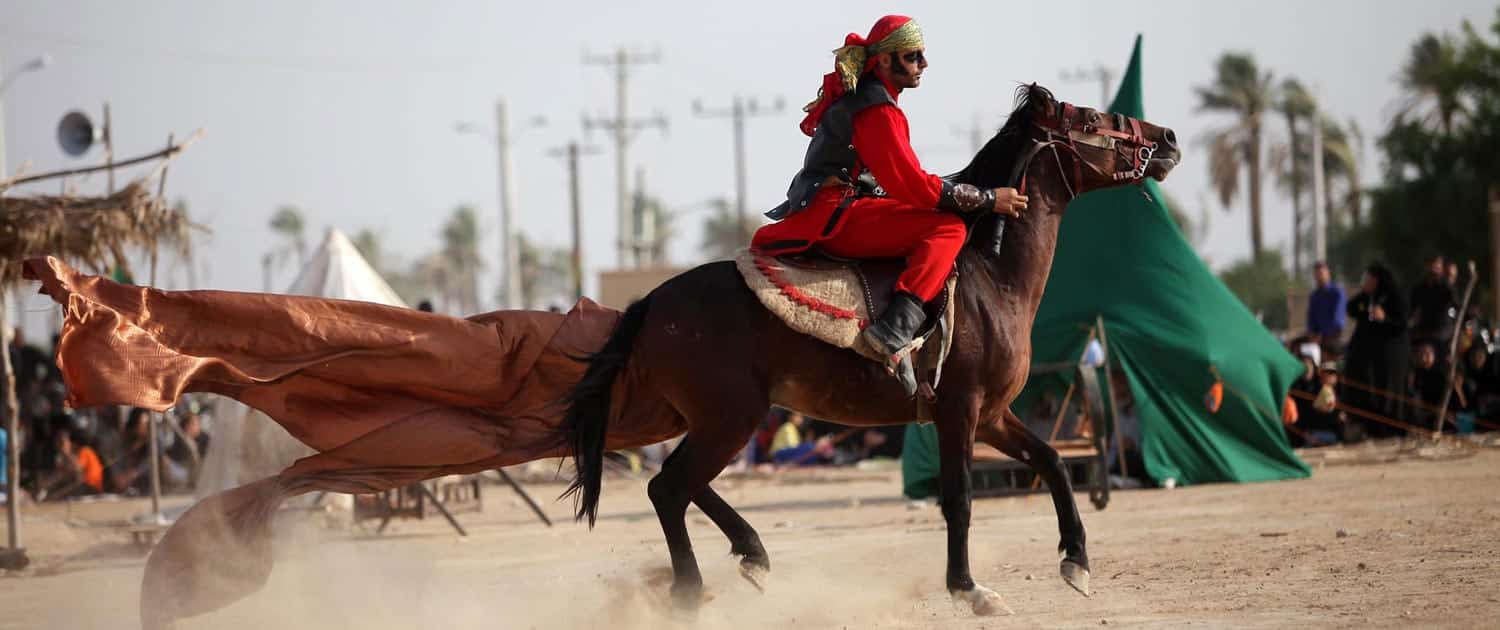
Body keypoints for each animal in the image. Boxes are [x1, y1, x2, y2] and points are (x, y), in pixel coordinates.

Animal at [564, 83, 1182, 615]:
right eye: (1093, 120)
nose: (1169, 138)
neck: (991, 272)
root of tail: (653, 303)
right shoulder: (960, 411)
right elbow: (958, 499)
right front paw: (968, 589)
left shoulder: (992, 415)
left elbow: (1053, 462)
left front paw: (1076, 561)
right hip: (731, 418)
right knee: (671, 488)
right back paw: (693, 589)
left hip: (715, 419)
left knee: (680, 484)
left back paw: (751, 555)